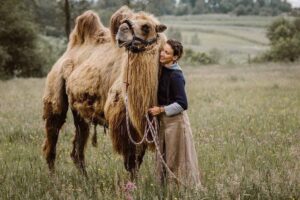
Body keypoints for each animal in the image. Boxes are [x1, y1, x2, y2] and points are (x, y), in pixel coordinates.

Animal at [42, 6, 166, 178]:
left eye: (146, 27)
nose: (122, 30)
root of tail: (69, 50)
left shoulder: (144, 122)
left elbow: (138, 157)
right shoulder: (121, 119)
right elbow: (131, 160)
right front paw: (133, 184)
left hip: (79, 107)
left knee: (79, 140)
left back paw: (85, 178)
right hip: (56, 83)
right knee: (53, 127)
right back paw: (54, 176)